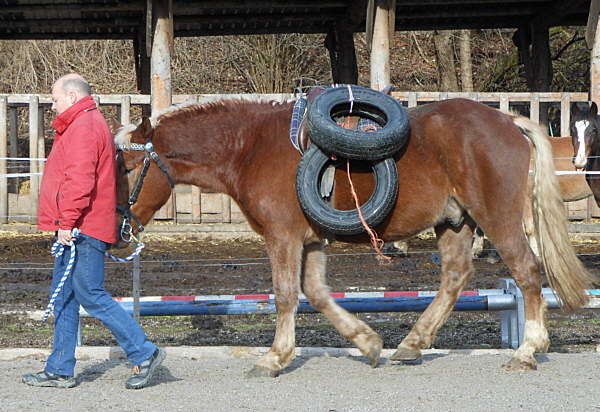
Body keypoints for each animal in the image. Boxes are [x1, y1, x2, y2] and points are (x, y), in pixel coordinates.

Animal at [112, 96, 592, 376]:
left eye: (130, 167)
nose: (118, 231)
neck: (249, 147)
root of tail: (507, 120)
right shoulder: (310, 241)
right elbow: (316, 294)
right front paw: (367, 341)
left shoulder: (283, 237)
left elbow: (284, 294)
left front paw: (273, 357)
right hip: (455, 222)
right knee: (455, 277)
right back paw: (411, 344)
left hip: (497, 217)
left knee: (526, 272)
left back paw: (527, 350)